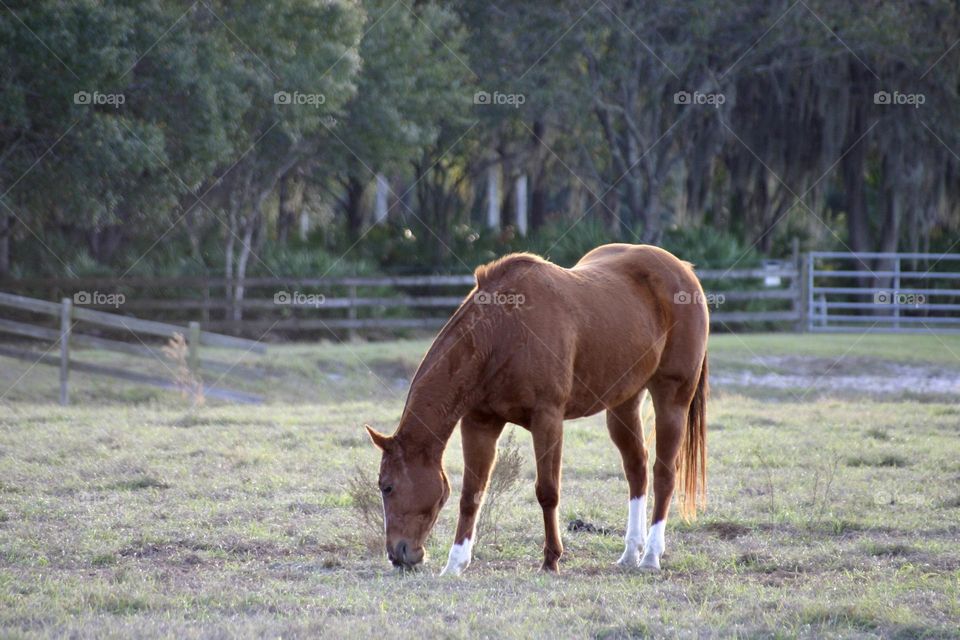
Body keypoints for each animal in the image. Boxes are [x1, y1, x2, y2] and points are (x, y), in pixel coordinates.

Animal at [364, 244, 708, 576]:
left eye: (387, 486)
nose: (398, 554)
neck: (502, 331)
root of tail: (683, 271)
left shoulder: (548, 420)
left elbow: (547, 491)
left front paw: (551, 559)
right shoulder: (479, 423)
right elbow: (471, 494)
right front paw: (455, 564)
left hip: (672, 399)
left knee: (664, 473)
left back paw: (650, 556)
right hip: (623, 404)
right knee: (637, 470)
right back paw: (629, 554)